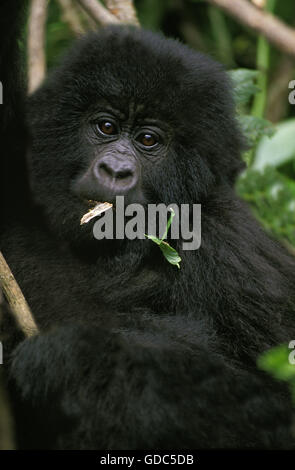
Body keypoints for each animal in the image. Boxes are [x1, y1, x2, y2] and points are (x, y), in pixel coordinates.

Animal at [0, 0, 295, 450]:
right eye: (106, 127)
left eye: (149, 140)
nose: (115, 170)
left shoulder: (236, 257)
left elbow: (278, 406)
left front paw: (78, 362)